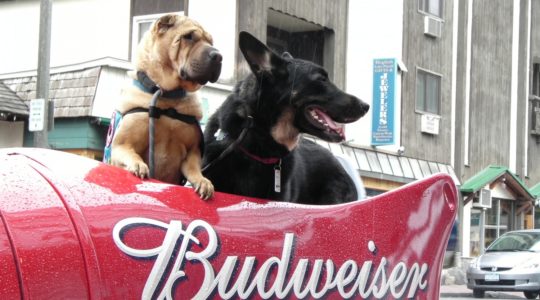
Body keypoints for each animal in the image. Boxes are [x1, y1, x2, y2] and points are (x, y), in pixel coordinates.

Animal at [109, 14, 221, 202]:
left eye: (210, 41)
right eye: (189, 37)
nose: (218, 56)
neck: (168, 97)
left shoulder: (192, 152)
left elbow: (194, 169)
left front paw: (203, 182)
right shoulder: (121, 145)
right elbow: (129, 153)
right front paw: (138, 165)